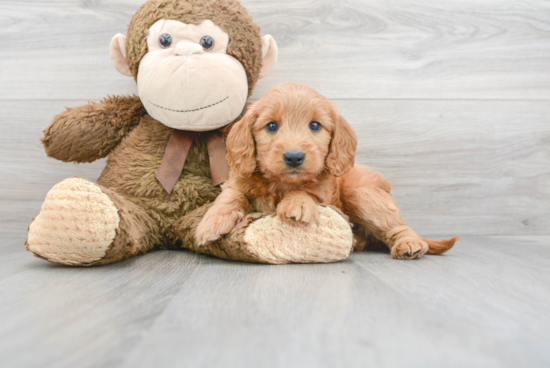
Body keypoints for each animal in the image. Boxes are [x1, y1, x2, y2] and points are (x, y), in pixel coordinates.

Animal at [196, 81, 460, 258]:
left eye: (315, 125)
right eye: (271, 126)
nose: (294, 157)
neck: (281, 183)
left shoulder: (324, 193)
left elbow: (307, 190)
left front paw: (297, 203)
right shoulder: (238, 180)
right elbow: (230, 196)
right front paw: (211, 223)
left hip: (361, 193)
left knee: (397, 226)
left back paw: (409, 245)